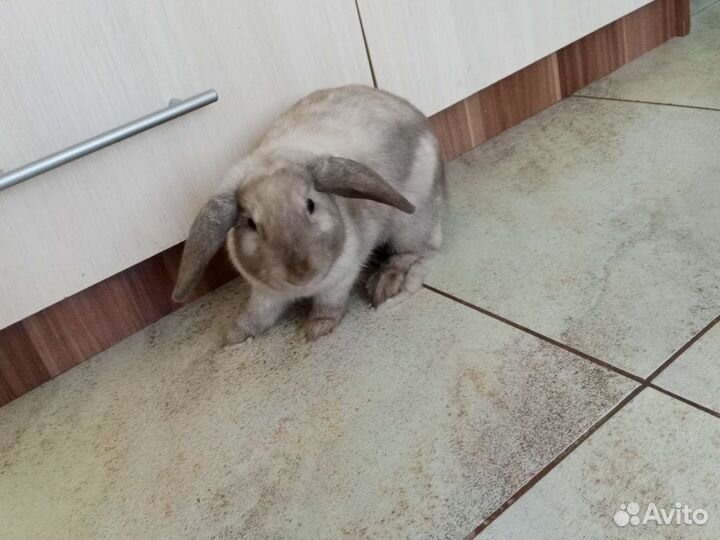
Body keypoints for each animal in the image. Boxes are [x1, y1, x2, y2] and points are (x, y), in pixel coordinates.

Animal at [172, 84, 445, 344]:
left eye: (311, 205)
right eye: (251, 223)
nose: (301, 274)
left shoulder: (342, 276)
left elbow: (329, 303)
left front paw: (317, 329)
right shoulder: (265, 292)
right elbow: (260, 311)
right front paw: (235, 334)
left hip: (410, 223)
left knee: (422, 249)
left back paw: (387, 284)